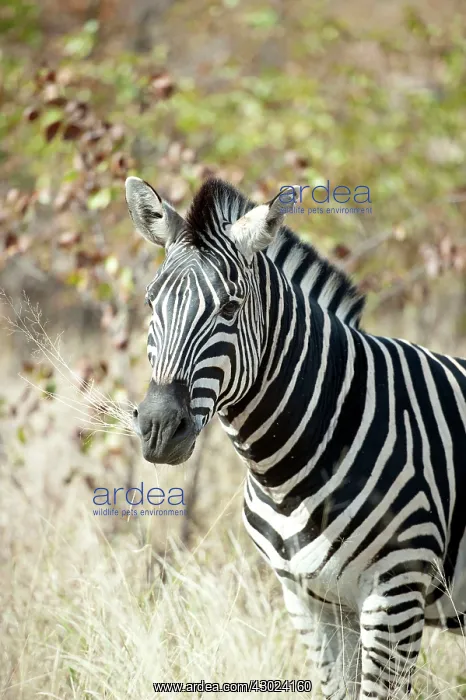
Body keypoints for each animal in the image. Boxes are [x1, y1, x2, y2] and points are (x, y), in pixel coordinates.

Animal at [125, 175, 466, 699]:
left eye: (230, 307)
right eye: (150, 303)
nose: (160, 429)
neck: (288, 475)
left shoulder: (395, 597)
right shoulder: (311, 602)